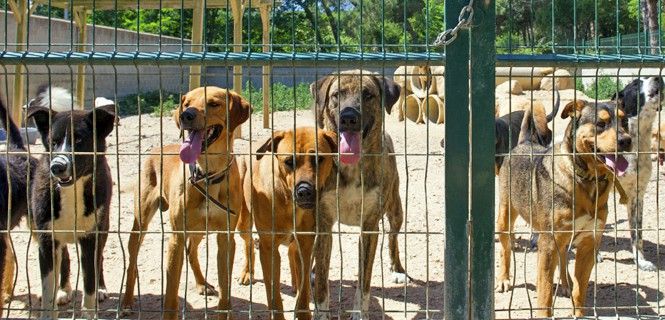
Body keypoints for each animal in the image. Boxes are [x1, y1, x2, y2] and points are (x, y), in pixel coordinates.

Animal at [27, 86, 116, 318]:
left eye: (79, 140)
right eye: (53, 142)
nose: (57, 167)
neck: (71, 191)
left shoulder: (91, 238)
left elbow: (89, 284)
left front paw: (91, 306)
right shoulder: (47, 240)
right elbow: (47, 289)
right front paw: (52, 302)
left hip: (103, 227)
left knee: (99, 259)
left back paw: (101, 288)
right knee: (65, 258)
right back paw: (63, 290)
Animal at [121, 86, 249, 318]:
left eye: (213, 103)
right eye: (186, 103)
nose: (185, 115)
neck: (207, 174)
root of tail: (157, 149)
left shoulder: (226, 238)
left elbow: (225, 289)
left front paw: (225, 311)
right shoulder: (176, 238)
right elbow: (171, 294)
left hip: (199, 229)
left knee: (192, 252)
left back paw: (201, 284)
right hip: (141, 224)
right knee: (132, 263)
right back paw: (126, 302)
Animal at [237, 127, 338, 320]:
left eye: (318, 159)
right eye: (289, 161)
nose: (304, 191)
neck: (289, 203)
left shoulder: (306, 244)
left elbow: (304, 289)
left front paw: (303, 309)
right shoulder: (268, 248)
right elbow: (274, 294)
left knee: (292, 254)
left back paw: (294, 282)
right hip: (243, 223)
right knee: (248, 243)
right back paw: (247, 272)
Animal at [308, 69, 408, 318]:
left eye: (368, 95)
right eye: (337, 95)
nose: (349, 117)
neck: (351, 167)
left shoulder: (369, 226)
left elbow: (364, 281)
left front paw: (359, 313)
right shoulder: (323, 223)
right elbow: (322, 280)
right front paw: (321, 312)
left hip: (395, 208)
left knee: (393, 237)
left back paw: (398, 269)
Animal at [496, 100, 632, 318]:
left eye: (625, 121)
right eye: (600, 124)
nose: (626, 141)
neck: (588, 180)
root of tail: (524, 142)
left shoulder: (588, 243)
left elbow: (580, 289)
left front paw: (578, 312)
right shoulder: (548, 244)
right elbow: (544, 293)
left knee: (563, 258)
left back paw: (566, 283)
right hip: (505, 217)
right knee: (505, 248)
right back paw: (504, 279)